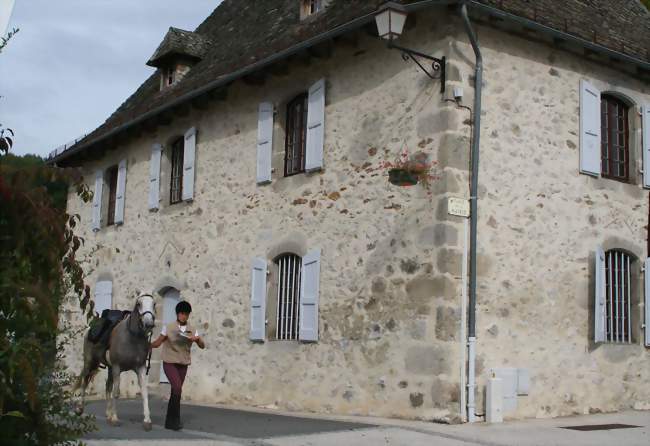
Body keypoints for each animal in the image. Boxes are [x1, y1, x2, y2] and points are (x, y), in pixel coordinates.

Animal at [73, 294, 156, 430]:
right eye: (139, 304)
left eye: (154, 304)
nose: (148, 323)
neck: (132, 337)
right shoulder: (117, 367)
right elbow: (116, 393)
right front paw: (115, 418)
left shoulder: (140, 368)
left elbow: (144, 392)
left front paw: (147, 420)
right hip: (90, 363)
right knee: (85, 381)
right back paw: (79, 408)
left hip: (110, 369)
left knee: (107, 386)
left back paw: (108, 414)